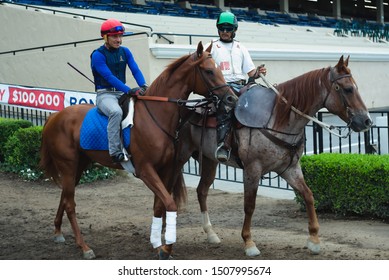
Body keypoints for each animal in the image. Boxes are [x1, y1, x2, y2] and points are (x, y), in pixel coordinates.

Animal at [39, 42, 235, 260]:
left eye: (219, 69)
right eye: (209, 71)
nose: (231, 98)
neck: (155, 116)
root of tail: (55, 117)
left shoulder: (166, 169)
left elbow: (159, 205)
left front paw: (158, 245)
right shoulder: (145, 170)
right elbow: (170, 204)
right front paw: (166, 248)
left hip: (79, 166)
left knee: (64, 197)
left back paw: (58, 231)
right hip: (68, 165)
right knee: (70, 204)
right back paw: (84, 247)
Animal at [171, 55, 372, 258]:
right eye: (348, 89)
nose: (366, 121)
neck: (277, 118)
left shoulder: (290, 168)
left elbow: (308, 195)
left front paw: (314, 239)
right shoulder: (252, 169)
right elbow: (249, 205)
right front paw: (249, 242)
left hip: (210, 161)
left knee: (202, 191)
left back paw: (210, 233)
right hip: (180, 157)